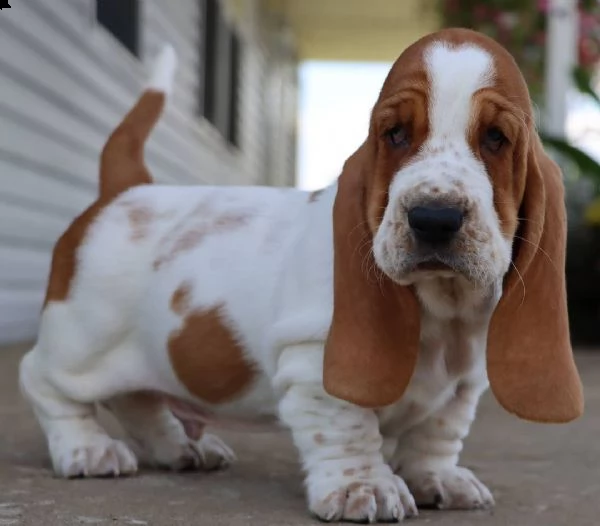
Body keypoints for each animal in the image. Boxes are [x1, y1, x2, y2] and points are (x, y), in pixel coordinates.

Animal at [21, 27, 584, 524]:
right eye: (395, 135)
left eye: (496, 138)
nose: (434, 218)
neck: (443, 308)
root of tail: (124, 190)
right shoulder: (314, 362)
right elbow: (348, 426)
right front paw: (364, 488)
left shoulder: (464, 382)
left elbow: (439, 433)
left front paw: (436, 479)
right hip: (80, 343)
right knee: (43, 381)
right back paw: (88, 449)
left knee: (138, 399)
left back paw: (180, 448)